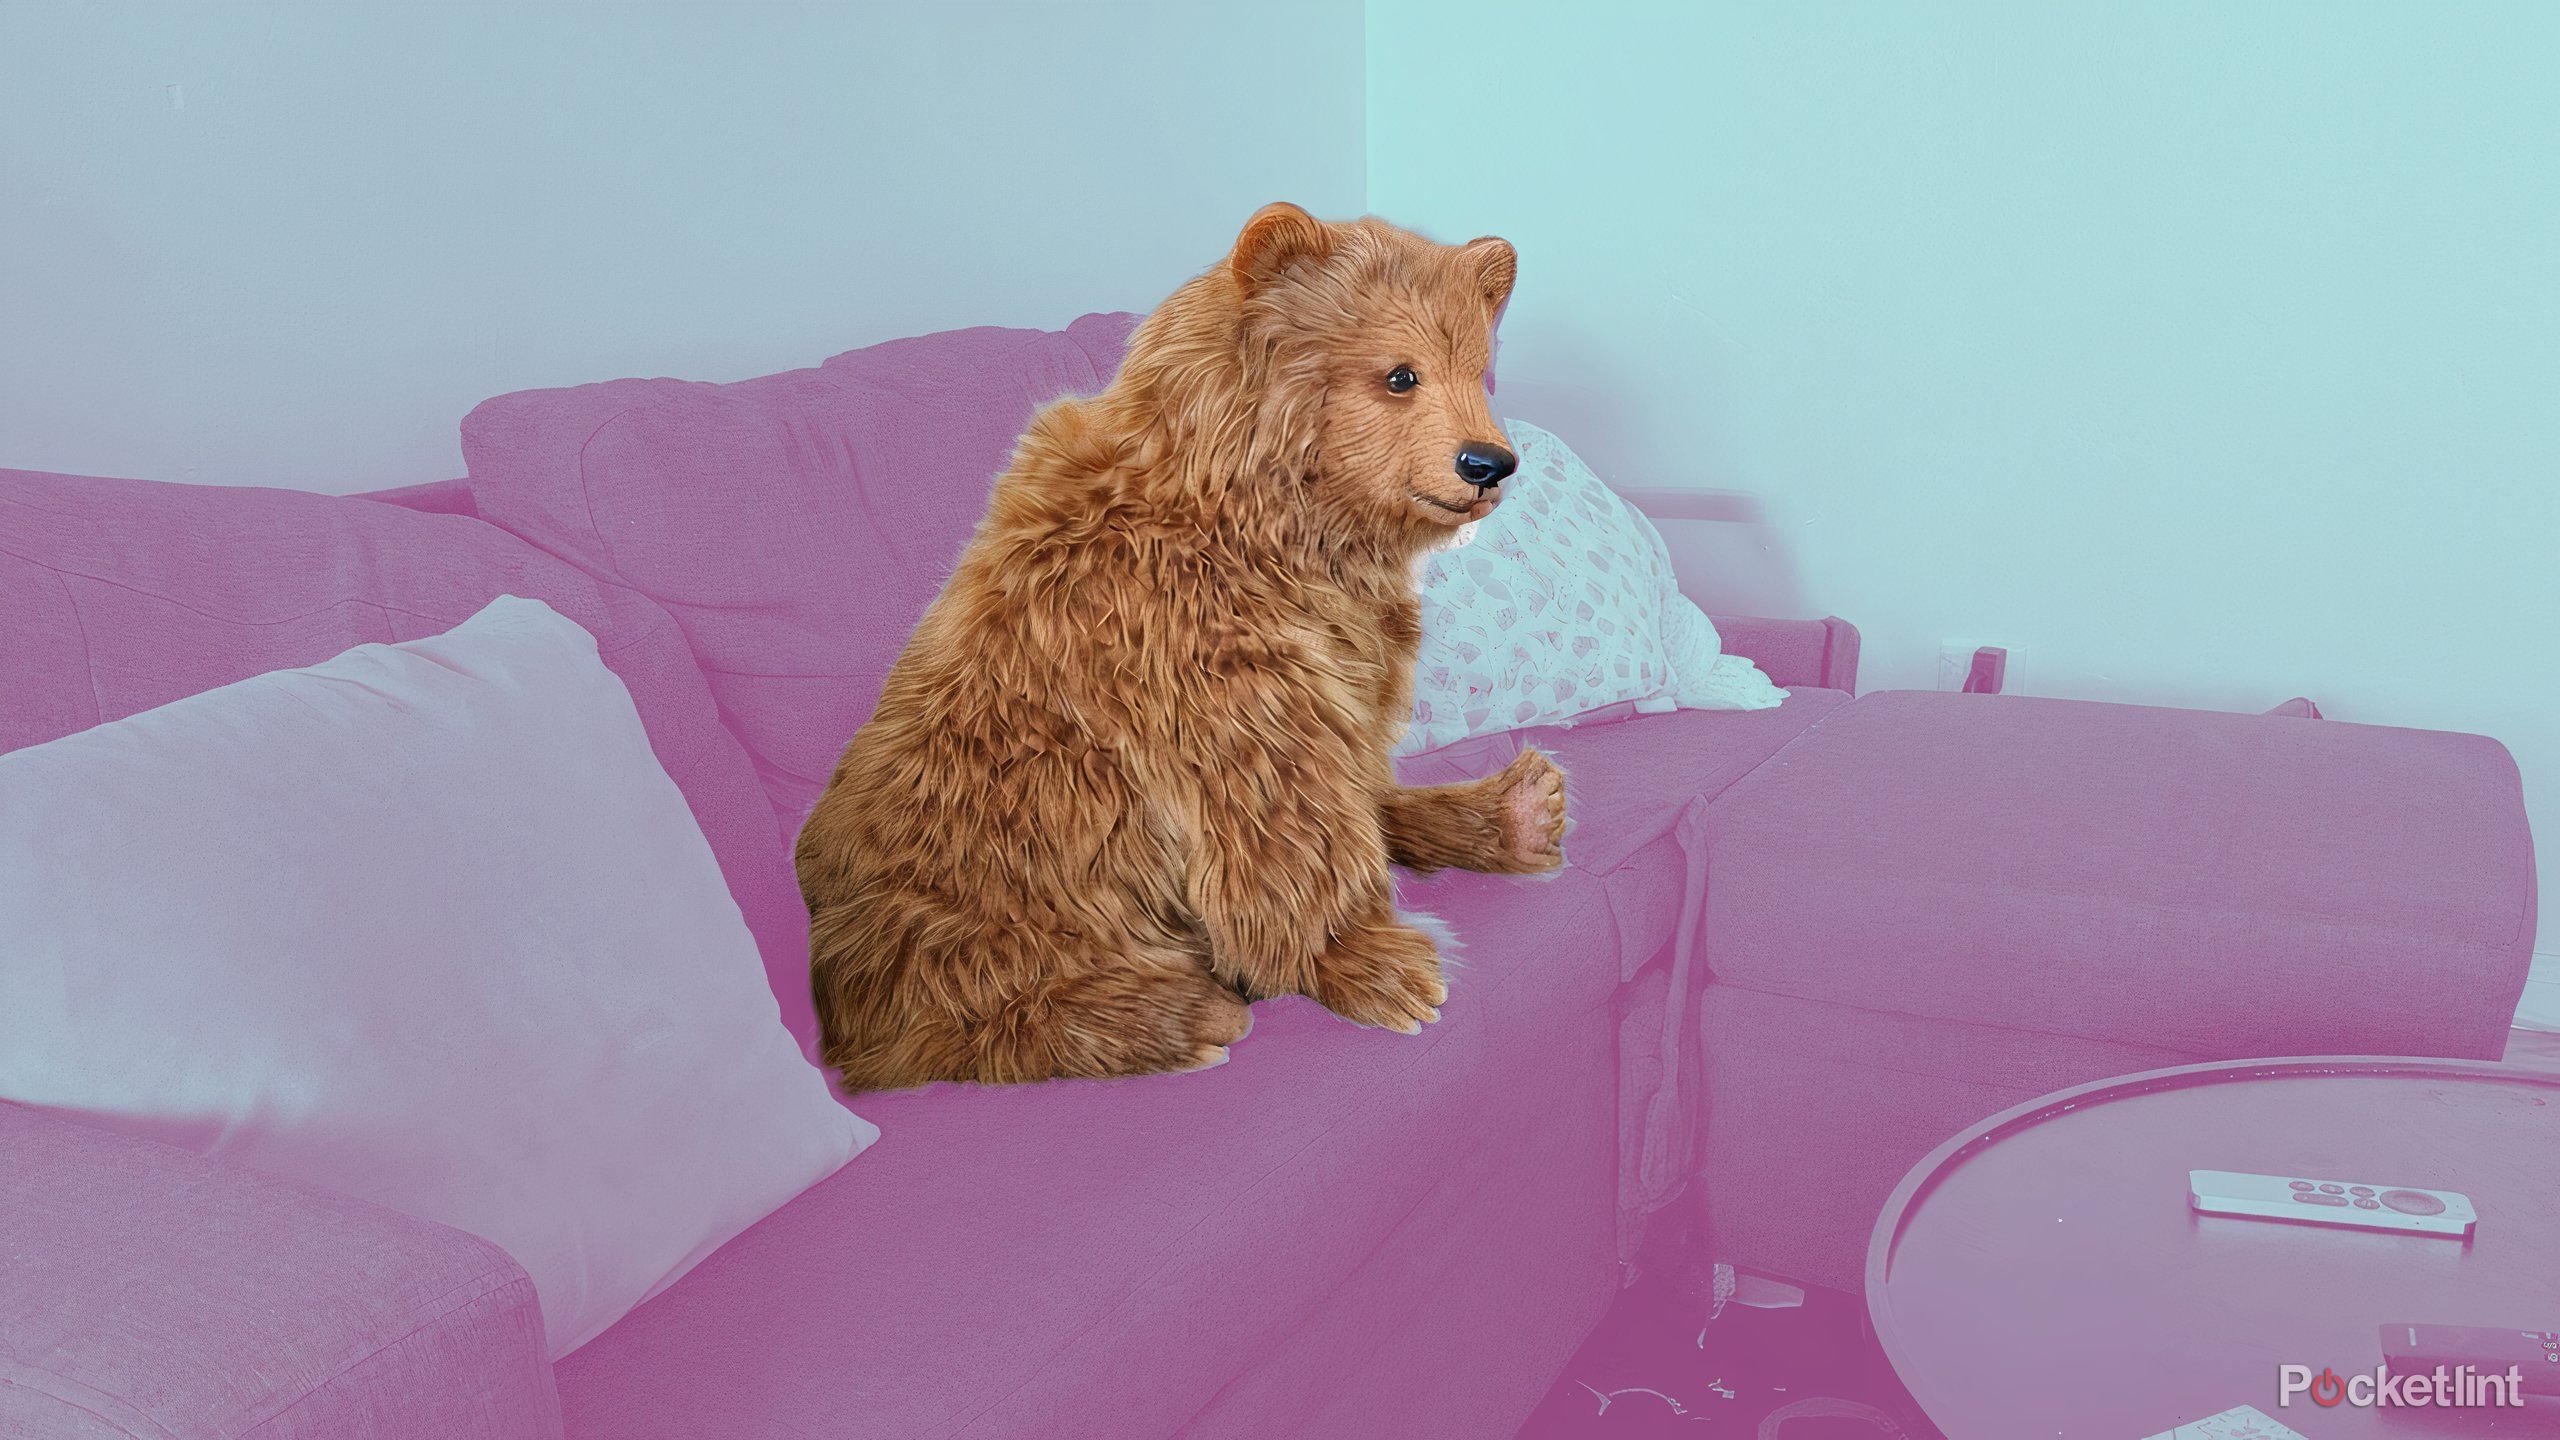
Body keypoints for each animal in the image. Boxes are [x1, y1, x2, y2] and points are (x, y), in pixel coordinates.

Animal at [796, 203, 1569, 1093]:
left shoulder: (1347, 656)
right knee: (961, 1007)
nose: (1489, 463)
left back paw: (1520, 811)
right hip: (972, 899)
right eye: (1399, 375)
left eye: (1476, 371)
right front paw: (1373, 965)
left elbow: (1354, 782)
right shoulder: (1196, 656)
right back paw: (1176, 1014)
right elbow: (1286, 824)